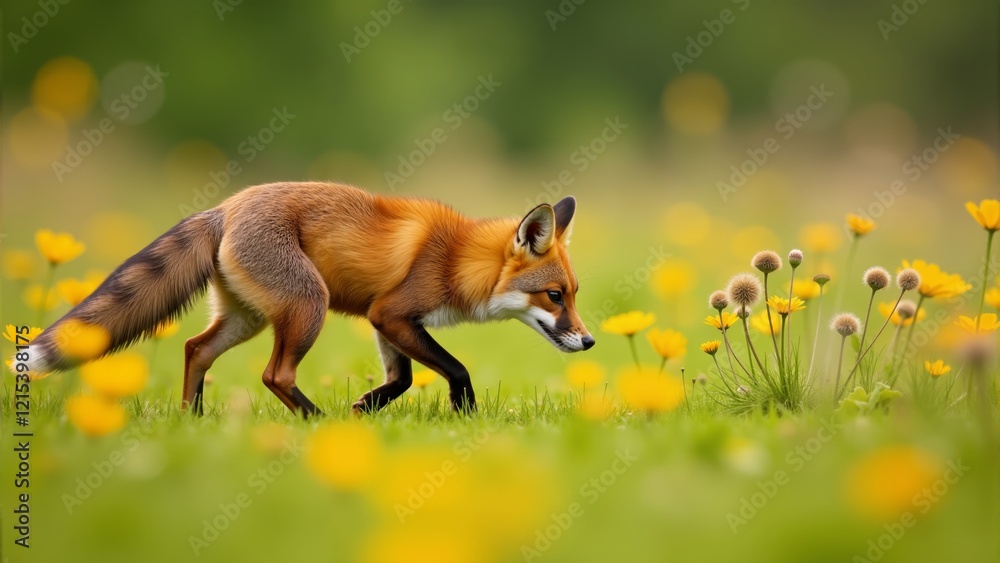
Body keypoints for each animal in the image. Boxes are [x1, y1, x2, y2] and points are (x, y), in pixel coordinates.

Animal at [21, 182, 594, 417]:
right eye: (554, 296)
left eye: (573, 295)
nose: (589, 342)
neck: (456, 258)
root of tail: (225, 207)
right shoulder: (392, 313)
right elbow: (454, 368)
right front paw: (465, 414)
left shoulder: (384, 320)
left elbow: (402, 379)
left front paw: (367, 407)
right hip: (307, 307)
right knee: (275, 375)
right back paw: (317, 421)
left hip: (247, 319)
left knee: (194, 349)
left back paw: (191, 423)